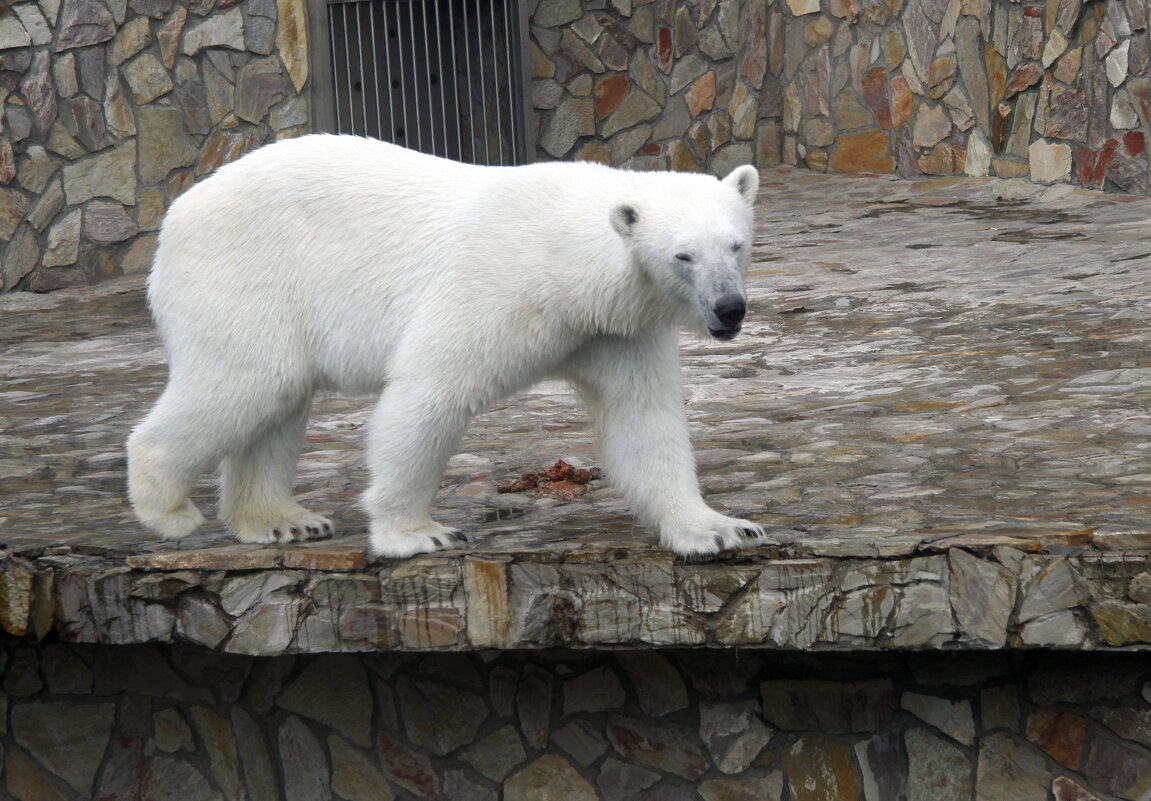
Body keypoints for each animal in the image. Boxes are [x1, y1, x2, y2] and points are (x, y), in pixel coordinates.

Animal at [128, 134, 764, 557]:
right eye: (683, 255)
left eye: (736, 245)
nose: (730, 309)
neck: (566, 261)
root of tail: (176, 214)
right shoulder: (497, 287)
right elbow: (430, 393)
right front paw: (416, 533)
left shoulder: (615, 329)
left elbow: (643, 420)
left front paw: (720, 527)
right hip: (244, 276)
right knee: (249, 382)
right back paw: (169, 510)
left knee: (277, 402)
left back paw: (281, 520)